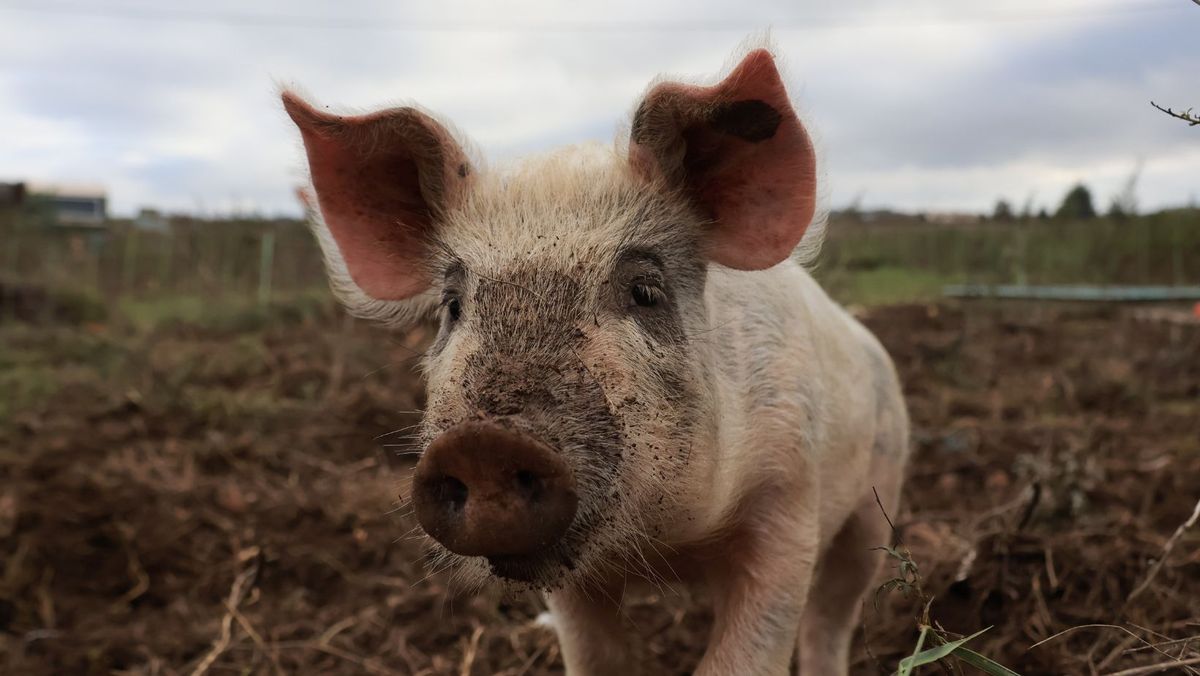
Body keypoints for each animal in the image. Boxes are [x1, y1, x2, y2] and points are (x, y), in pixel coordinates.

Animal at [283, 43, 907, 676]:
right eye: (452, 305)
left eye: (645, 291)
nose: (484, 443)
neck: (671, 544)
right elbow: (596, 654)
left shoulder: (787, 499)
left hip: (879, 495)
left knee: (834, 613)